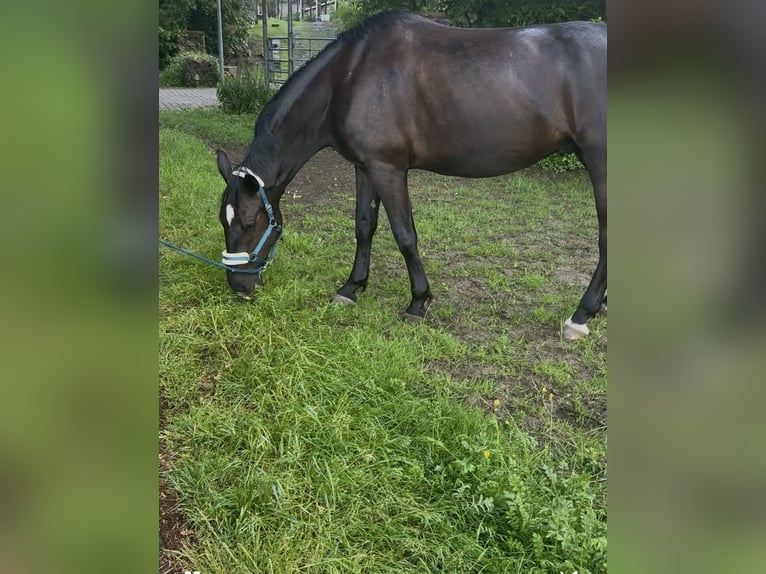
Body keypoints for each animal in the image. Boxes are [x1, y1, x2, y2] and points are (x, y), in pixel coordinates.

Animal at [215, 10, 606, 339]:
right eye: (223, 220)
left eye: (249, 223)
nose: (237, 287)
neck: (349, 75)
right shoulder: (364, 167)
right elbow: (363, 226)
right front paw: (351, 288)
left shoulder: (388, 169)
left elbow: (405, 235)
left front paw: (418, 302)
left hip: (601, 166)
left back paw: (580, 316)